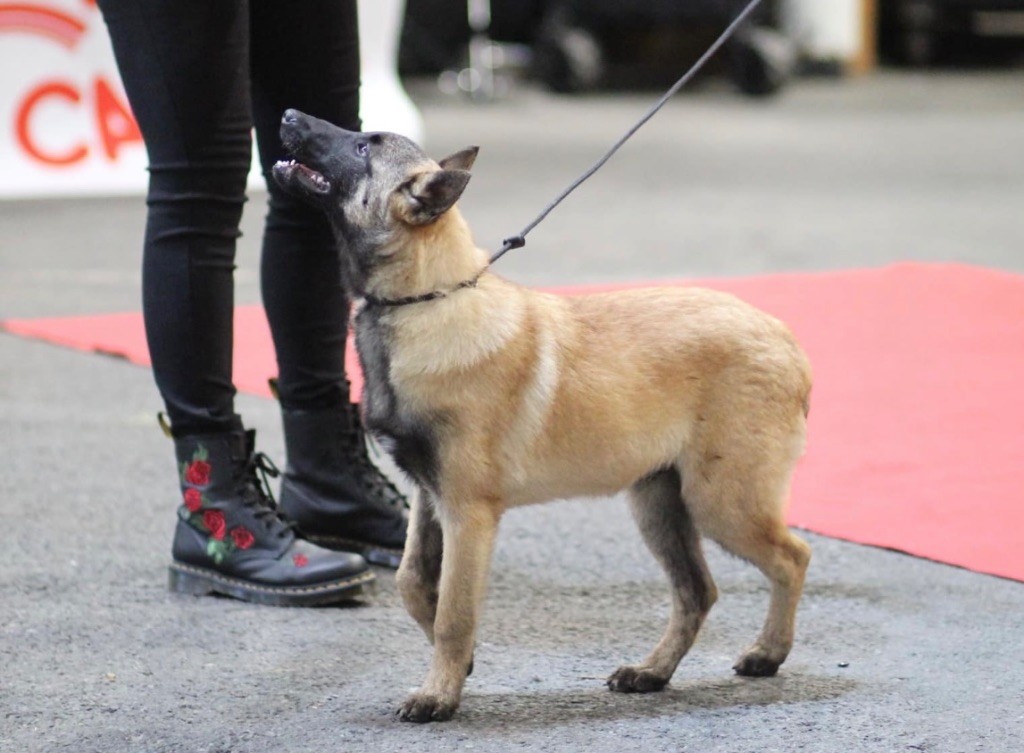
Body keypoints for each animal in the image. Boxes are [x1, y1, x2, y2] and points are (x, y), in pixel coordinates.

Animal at [274, 110, 815, 725]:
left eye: (365, 147)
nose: (289, 115)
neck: (427, 298)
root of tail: (783, 336)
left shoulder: (468, 513)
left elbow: (454, 612)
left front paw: (439, 692)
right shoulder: (430, 498)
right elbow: (413, 582)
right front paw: (460, 665)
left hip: (722, 500)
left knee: (792, 558)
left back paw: (768, 652)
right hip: (659, 504)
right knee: (697, 592)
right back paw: (652, 671)